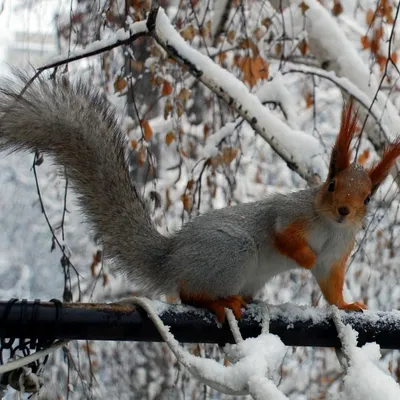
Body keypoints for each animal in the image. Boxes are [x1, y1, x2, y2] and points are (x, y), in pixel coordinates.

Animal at [0, 72, 400, 322]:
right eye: (331, 184)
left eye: (368, 198)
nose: (344, 210)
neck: (329, 226)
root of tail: (171, 259)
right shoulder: (289, 213)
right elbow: (282, 234)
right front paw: (303, 256)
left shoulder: (337, 253)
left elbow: (330, 284)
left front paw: (347, 305)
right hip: (231, 251)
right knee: (189, 293)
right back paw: (220, 301)